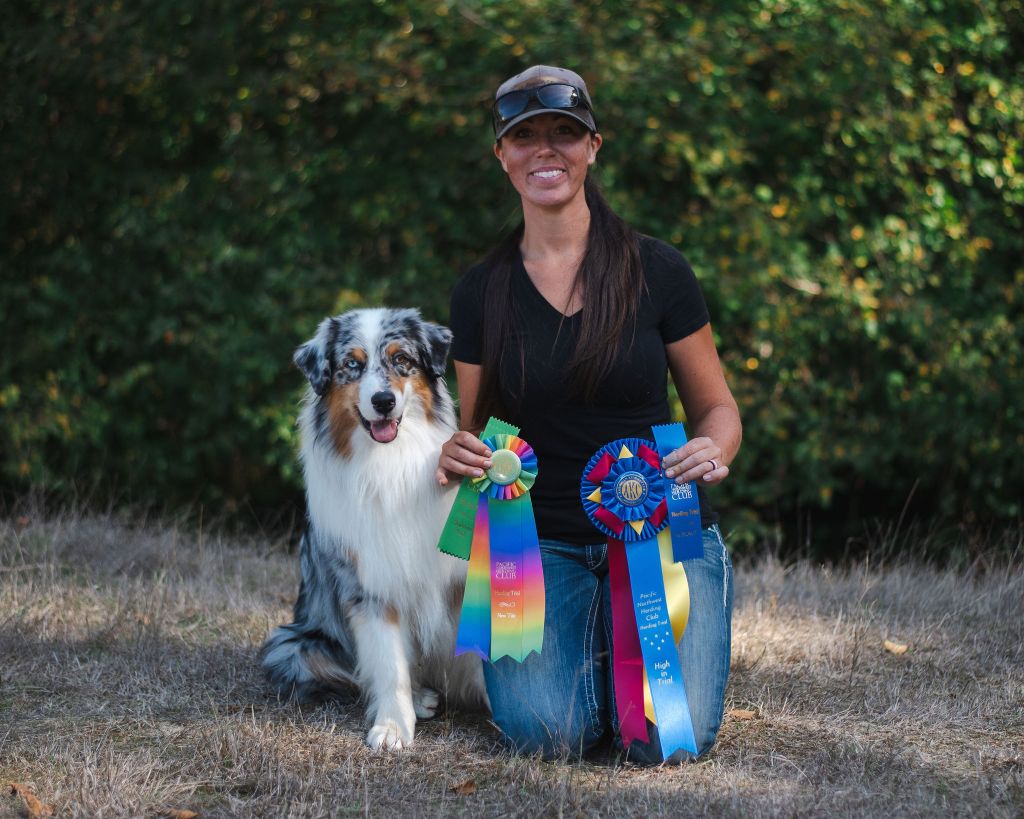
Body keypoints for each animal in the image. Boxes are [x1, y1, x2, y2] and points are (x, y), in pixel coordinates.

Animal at [262, 307, 486, 750]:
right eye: (352, 364)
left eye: (402, 360)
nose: (383, 401)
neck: (390, 462)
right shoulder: (369, 584)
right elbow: (389, 664)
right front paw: (393, 727)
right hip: (293, 645)